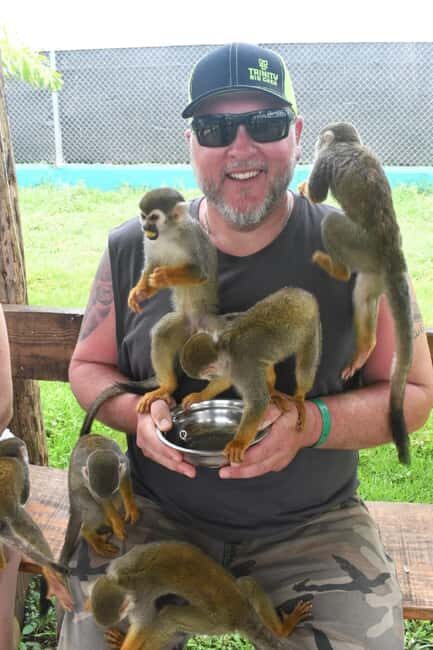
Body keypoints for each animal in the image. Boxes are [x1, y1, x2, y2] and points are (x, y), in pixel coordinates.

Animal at [60, 434, 139, 564]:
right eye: (100, 495)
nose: (105, 496)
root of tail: (72, 502)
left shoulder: (123, 462)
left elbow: (124, 478)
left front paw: (130, 506)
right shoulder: (90, 485)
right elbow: (100, 501)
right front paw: (116, 521)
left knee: (116, 496)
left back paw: (106, 520)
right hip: (79, 497)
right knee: (95, 509)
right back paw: (88, 532)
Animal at [87, 540, 312, 650]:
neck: (121, 579)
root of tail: (240, 615)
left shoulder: (140, 597)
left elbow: (144, 625)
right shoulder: (119, 564)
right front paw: (88, 603)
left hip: (214, 624)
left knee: (168, 617)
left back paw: (283, 629)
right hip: (240, 597)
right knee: (248, 583)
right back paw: (282, 630)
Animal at [126, 187, 219, 414]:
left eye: (154, 218)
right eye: (143, 216)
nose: (145, 227)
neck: (168, 234)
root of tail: (193, 329)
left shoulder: (191, 237)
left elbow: (199, 273)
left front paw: (164, 277)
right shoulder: (148, 242)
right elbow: (151, 264)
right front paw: (139, 291)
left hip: (208, 325)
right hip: (182, 324)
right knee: (161, 333)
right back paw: (167, 387)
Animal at [179, 287, 322, 464]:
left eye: (206, 376)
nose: (210, 378)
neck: (226, 349)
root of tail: (301, 294)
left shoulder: (243, 366)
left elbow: (257, 401)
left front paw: (238, 444)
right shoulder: (232, 367)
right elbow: (225, 380)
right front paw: (199, 395)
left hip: (311, 326)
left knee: (305, 364)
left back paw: (300, 398)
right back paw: (273, 392)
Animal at [301, 122, 413, 464]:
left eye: (318, 143)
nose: (315, 145)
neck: (349, 144)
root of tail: (391, 251)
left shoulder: (326, 158)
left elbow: (319, 193)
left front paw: (304, 189)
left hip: (360, 245)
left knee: (332, 222)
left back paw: (336, 269)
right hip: (372, 266)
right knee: (363, 298)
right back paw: (367, 345)